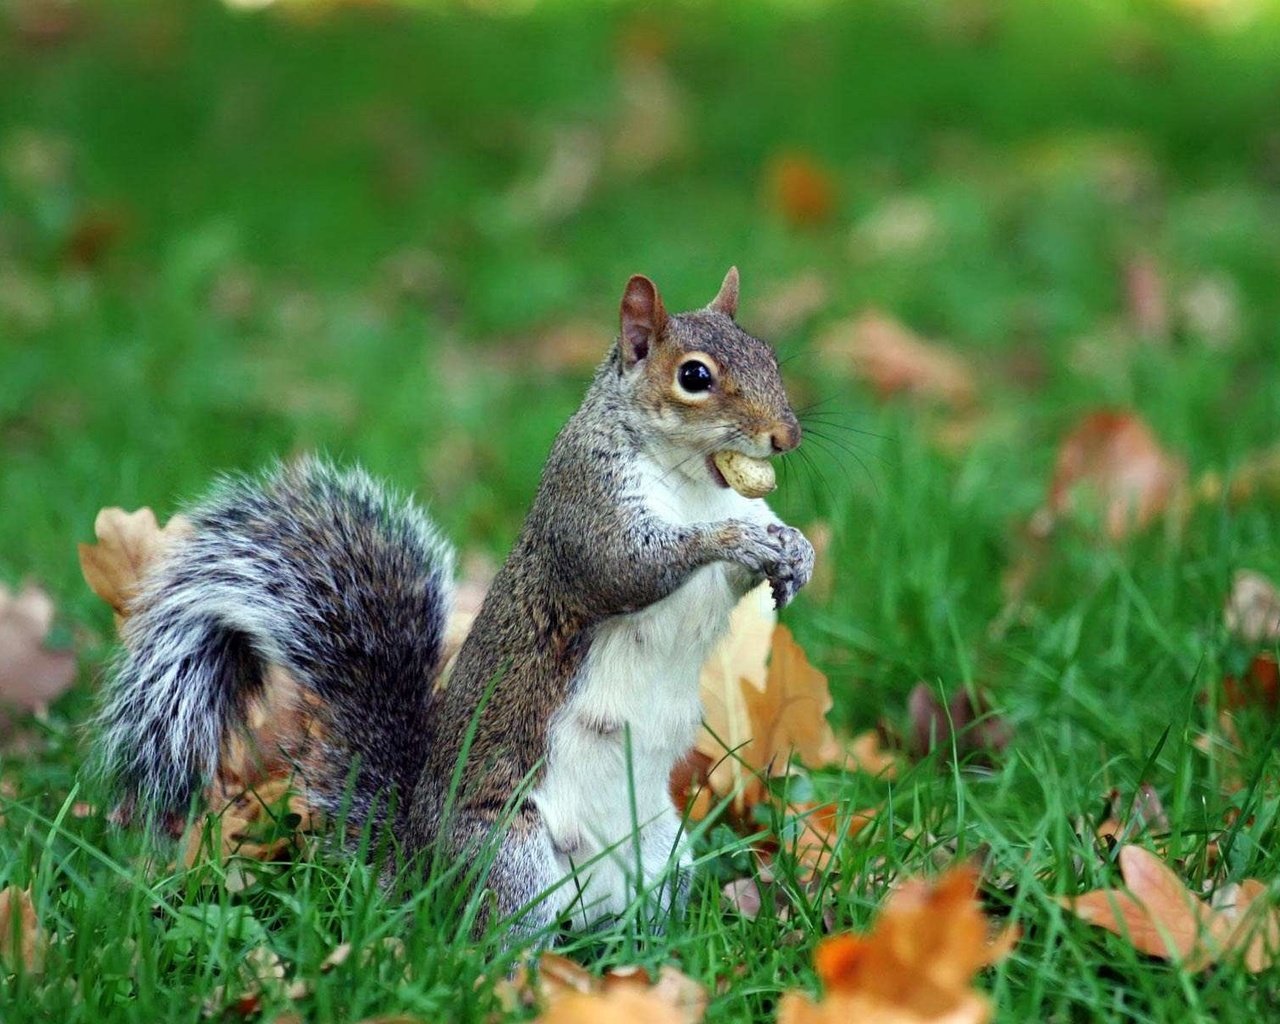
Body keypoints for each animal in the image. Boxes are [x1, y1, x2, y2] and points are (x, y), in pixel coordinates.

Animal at [92, 267, 808, 942]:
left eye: (768, 355)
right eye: (694, 376)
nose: (787, 436)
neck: (696, 481)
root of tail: (418, 868)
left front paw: (795, 552)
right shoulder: (586, 505)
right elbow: (627, 569)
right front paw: (733, 540)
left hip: (662, 853)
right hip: (509, 856)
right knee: (500, 940)